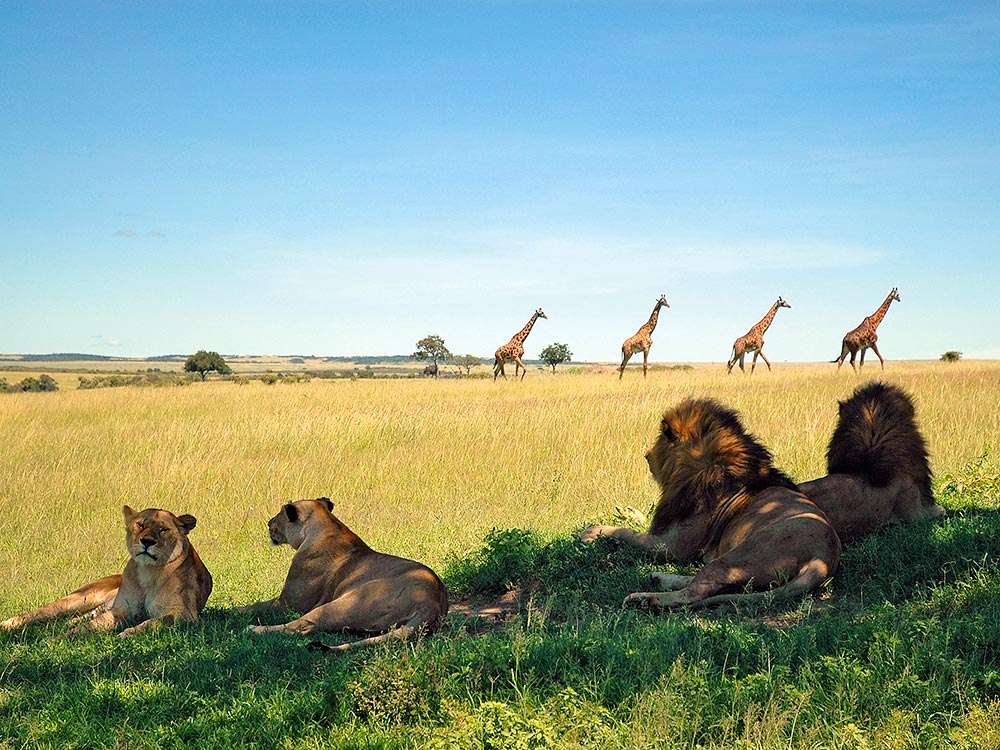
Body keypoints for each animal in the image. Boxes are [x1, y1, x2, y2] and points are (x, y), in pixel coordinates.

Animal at [0, 508, 213, 636]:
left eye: (164, 530)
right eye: (141, 525)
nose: (147, 541)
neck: (148, 573)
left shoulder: (184, 614)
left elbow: (153, 622)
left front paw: (126, 634)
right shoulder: (122, 610)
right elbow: (90, 626)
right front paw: (60, 638)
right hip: (78, 598)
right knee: (37, 614)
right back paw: (7, 625)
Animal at [240, 500, 448, 652]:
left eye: (279, 515)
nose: (268, 523)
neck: (328, 527)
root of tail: (432, 602)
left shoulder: (289, 602)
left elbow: (255, 606)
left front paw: (233, 610)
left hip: (343, 604)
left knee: (300, 627)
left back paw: (254, 629)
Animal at [580, 400, 844, 612]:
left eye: (659, 440)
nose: (646, 454)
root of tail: (823, 558)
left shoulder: (675, 546)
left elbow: (631, 533)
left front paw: (591, 532)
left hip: (741, 555)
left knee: (697, 590)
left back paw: (644, 599)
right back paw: (658, 578)